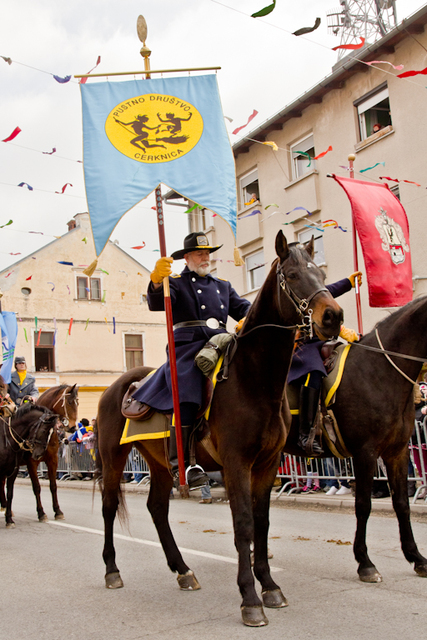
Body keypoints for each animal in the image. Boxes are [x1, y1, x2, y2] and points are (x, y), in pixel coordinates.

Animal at [0, 400, 61, 528]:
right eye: (43, 431)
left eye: (50, 433)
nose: (38, 454)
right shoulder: (31, 463)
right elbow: (36, 487)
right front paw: (41, 514)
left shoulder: (52, 461)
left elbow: (53, 486)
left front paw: (58, 511)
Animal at [97, 232, 344, 628]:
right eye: (291, 275)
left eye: (319, 272)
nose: (333, 317)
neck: (253, 378)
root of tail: (118, 386)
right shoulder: (236, 464)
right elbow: (243, 525)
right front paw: (250, 599)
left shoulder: (267, 465)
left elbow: (262, 523)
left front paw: (269, 586)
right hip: (113, 457)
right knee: (109, 507)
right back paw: (112, 571)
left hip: (162, 462)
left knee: (156, 508)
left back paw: (183, 570)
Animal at [284, 298, 427, 584]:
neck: (379, 371)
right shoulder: (365, 453)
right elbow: (363, 505)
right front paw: (365, 563)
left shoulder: (397, 452)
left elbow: (402, 504)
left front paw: (416, 557)